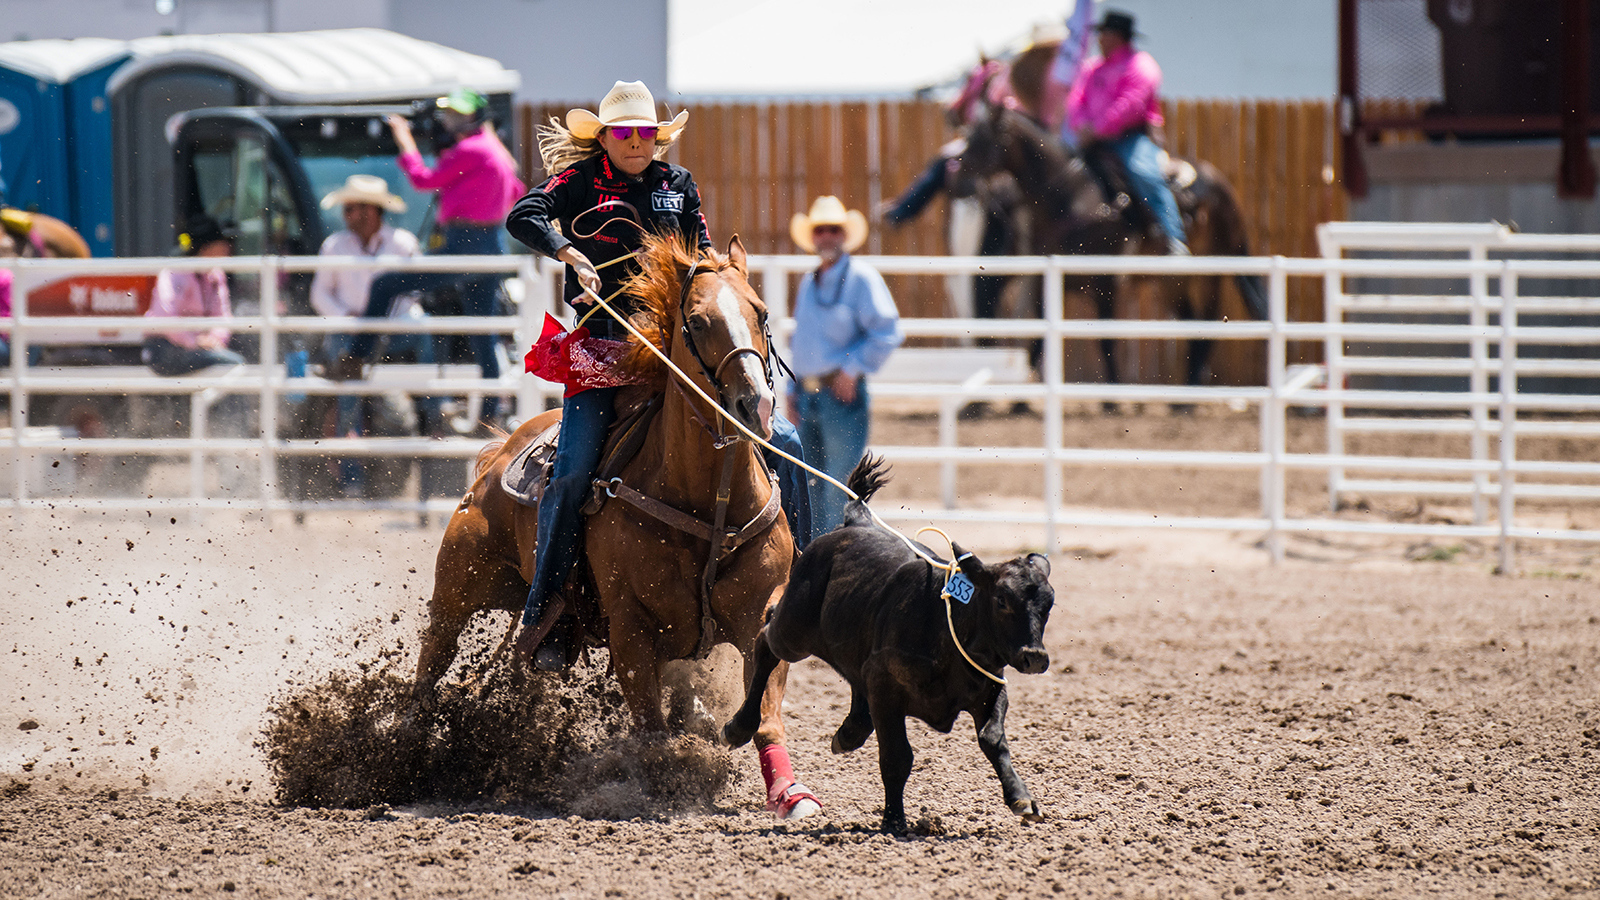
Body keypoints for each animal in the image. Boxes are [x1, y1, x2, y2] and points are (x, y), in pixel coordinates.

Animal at [416, 230, 812, 813]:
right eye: (696, 322)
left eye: (760, 312)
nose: (753, 406)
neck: (706, 501)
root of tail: (497, 454)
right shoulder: (631, 632)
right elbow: (650, 731)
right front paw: (662, 782)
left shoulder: (761, 615)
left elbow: (765, 717)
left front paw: (789, 791)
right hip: (459, 588)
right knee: (431, 661)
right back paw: (406, 743)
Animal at [723, 451, 1049, 832]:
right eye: (1002, 600)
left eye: (1048, 604)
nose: (1034, 656)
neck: (947, 627)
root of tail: (855, 523)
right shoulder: (886, 688)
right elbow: (897, 756)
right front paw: (894, 819)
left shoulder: (991, 688)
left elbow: (993, 739)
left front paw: (1021, 797)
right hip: (793, 630)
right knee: (764, 641)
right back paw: (738, 726)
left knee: (850, 677)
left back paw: (849, 731)